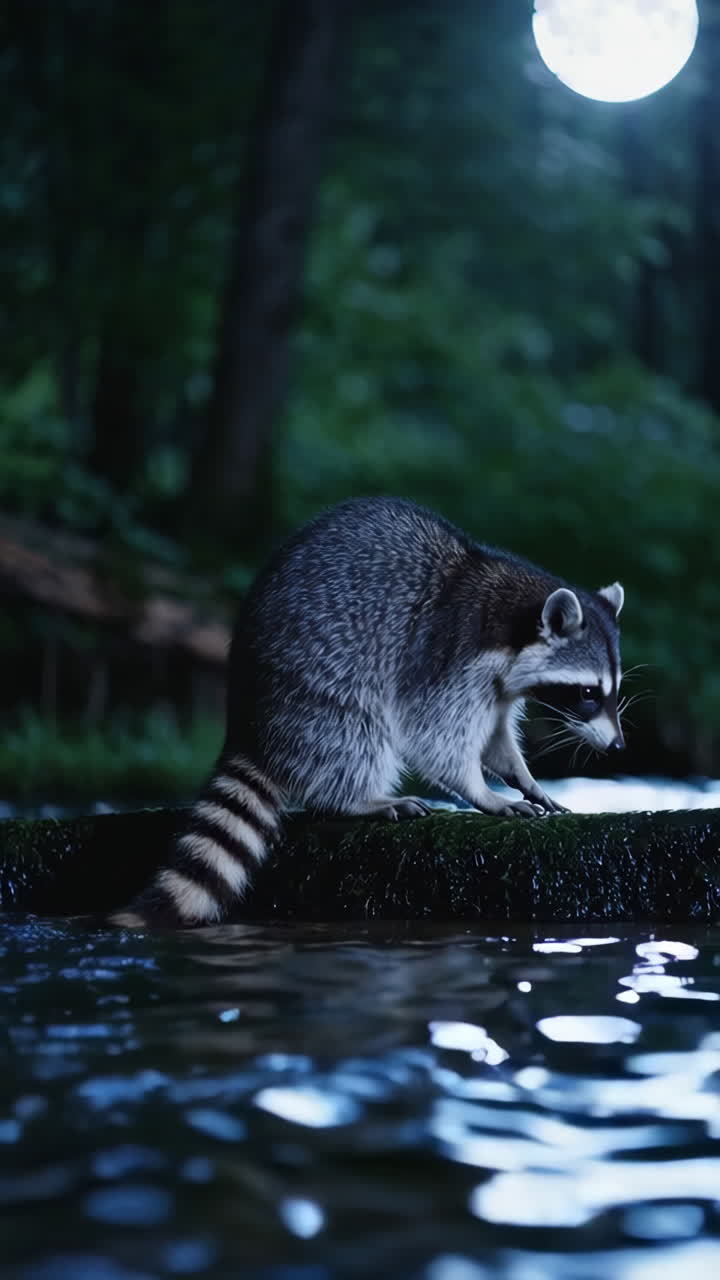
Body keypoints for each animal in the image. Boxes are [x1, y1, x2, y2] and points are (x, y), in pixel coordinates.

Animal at [112, 497, 624, 928]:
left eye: (611, 691)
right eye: (587, 693)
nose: (618, 746)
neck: (515, 619)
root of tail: (246, 723)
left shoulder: (498, 687)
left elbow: (496, 735)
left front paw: (523, 776)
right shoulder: (447, 656)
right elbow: (433, 735)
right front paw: (482, 792)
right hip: (313, 682)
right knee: (356, 732)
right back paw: (357, 798)